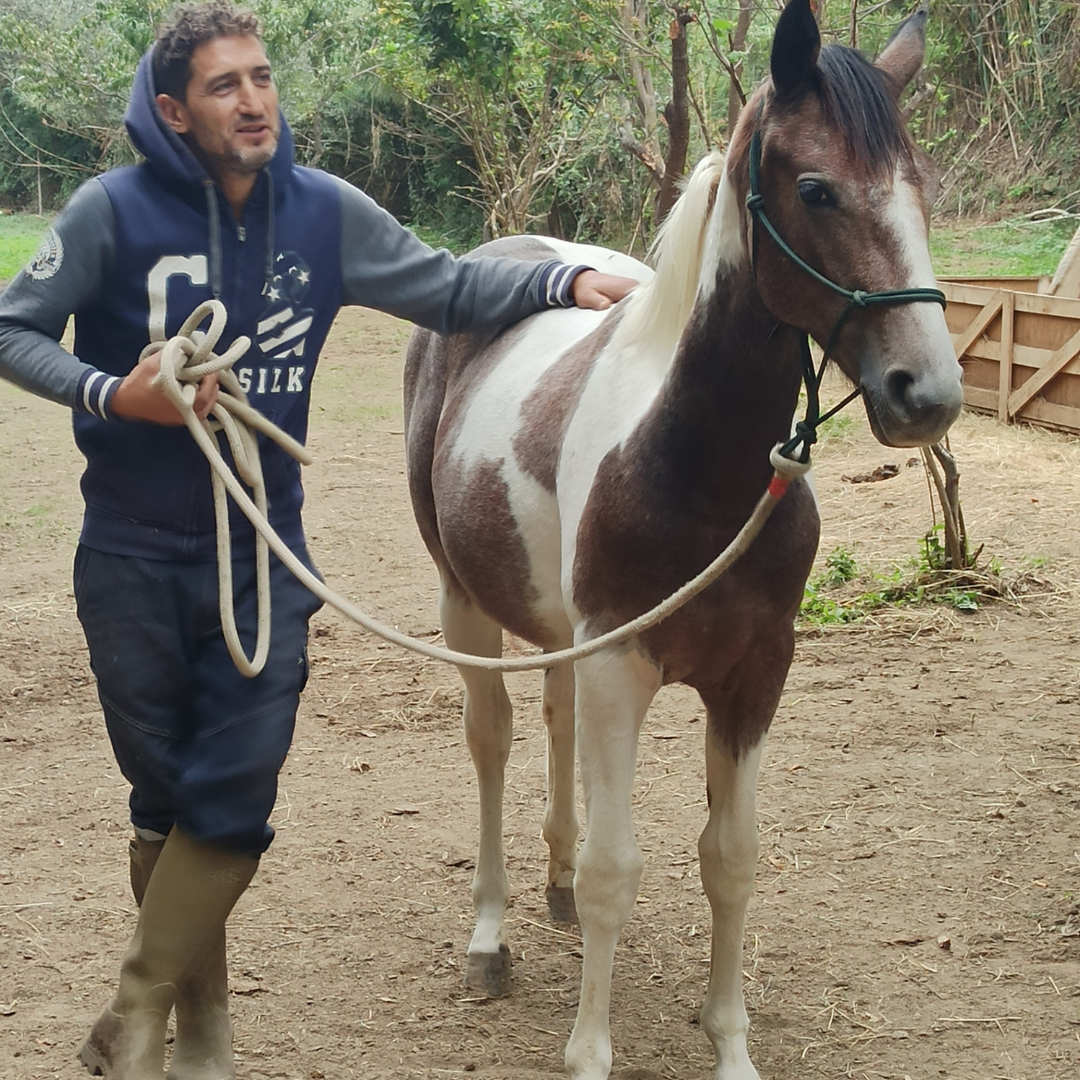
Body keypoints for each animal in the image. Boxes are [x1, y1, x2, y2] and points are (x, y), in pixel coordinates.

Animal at [402, 2, 963, 1077]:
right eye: (817, 189)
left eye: (922, 188)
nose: (929, 394)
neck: (695, 468)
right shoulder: (622, 662)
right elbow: (621, 869)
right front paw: (588, 1051)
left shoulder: (754, 673)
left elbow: (731, 858)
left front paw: (731, 1045)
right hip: (462, 601)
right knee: (492, 738)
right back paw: (491, 936)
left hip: (561, 629)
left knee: (554, 721)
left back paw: (552, 885)